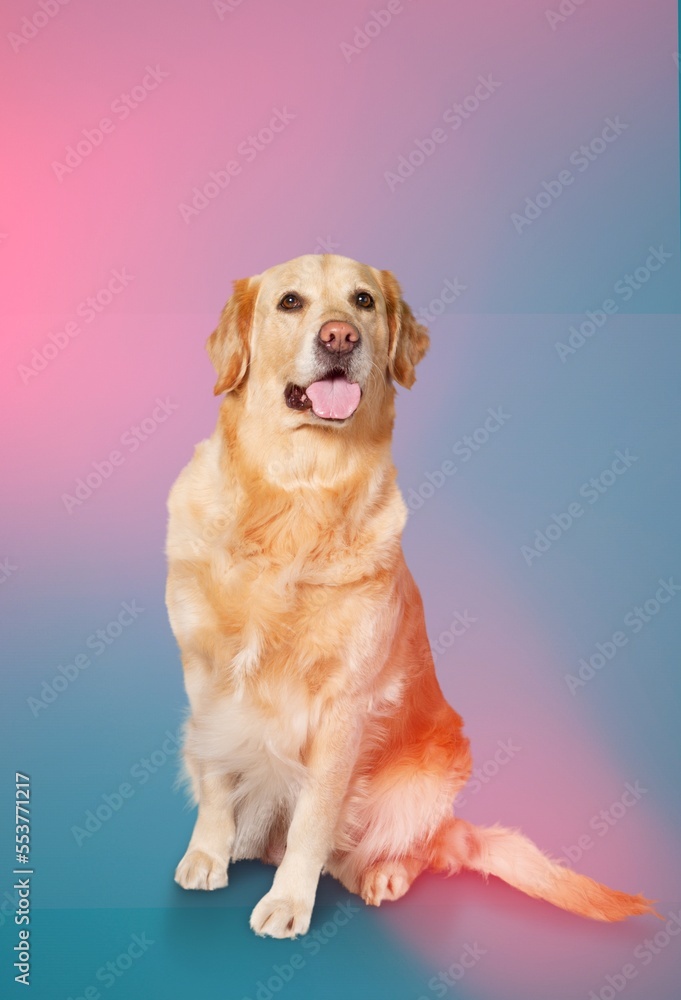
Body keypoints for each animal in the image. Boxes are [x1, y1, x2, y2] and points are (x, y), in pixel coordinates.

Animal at [165, 252, 652, 936]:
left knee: (410, 847)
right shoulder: (204, 676)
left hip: (431, 772)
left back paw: (383, 871)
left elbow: (315, 816)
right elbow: (215, 777)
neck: (295, 494)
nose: (340, 337)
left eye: (363, 300)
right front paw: (206, 854)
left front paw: (288, 902)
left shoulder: (344, 703)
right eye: (290, 302)